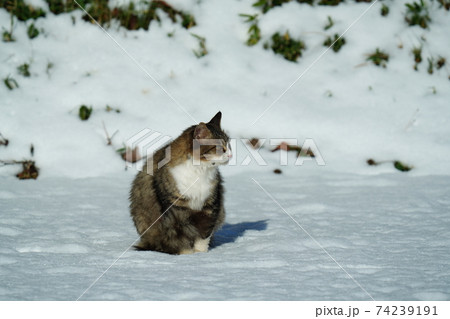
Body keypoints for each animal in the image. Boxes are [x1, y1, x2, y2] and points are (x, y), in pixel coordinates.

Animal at [128, 112, 230, 255]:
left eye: (229, 145)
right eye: (221, 148)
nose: (230, 155)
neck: (199, 172)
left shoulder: (210, 205)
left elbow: (204, 236)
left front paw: (200, 254)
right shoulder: (176, 210)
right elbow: (181, 236)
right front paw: (186, 254)